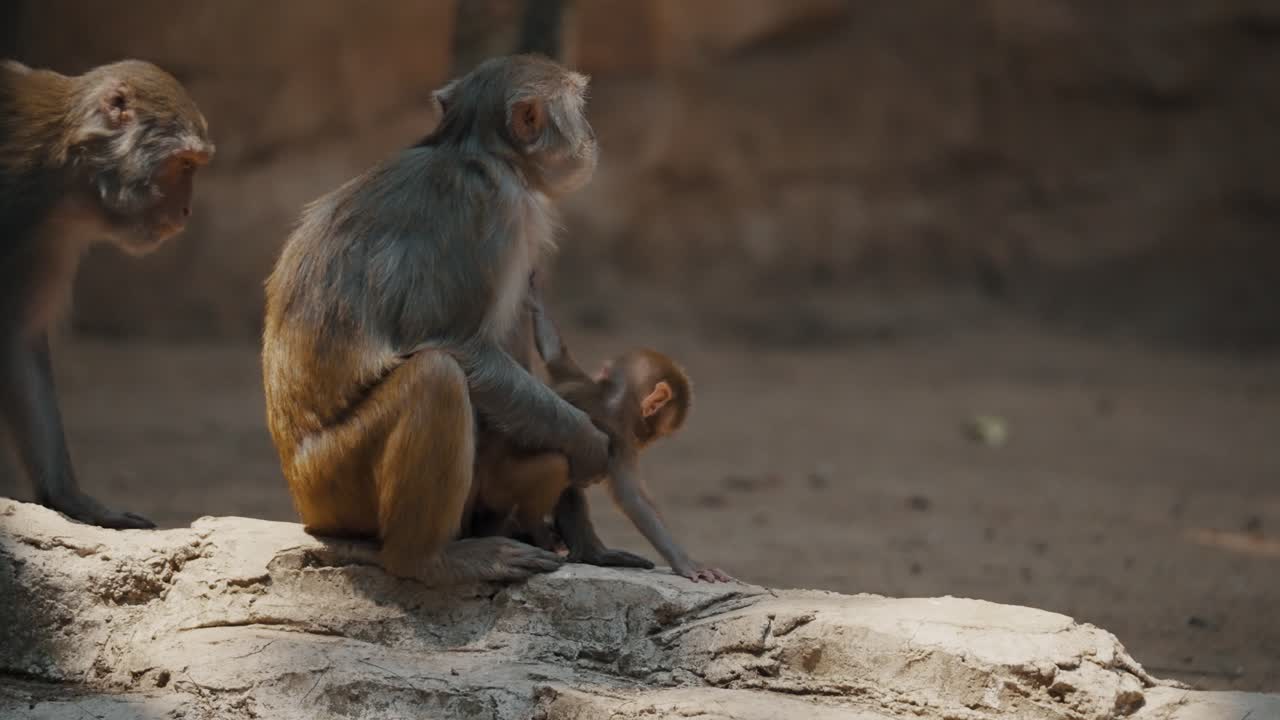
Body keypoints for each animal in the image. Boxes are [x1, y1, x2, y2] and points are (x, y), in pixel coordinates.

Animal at [261, 55, 612, 586]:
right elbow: (457, 344)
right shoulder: (491, 208)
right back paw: (429, 558)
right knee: (437, 377)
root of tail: (303, 496)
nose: (591, 135)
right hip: (336, 478)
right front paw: (585, 439)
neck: (475, 150)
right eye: (579, 108)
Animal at [468, 278, 733, 583]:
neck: (610, 398)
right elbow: (632, 498)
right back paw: (536, 534)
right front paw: (687, 563)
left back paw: (591, 553)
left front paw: (534, 297)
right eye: (652, 433)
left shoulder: (577, 379)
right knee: (558, 466)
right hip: (497, 488)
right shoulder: (617, 437)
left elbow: (554, 353)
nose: (644, 443)